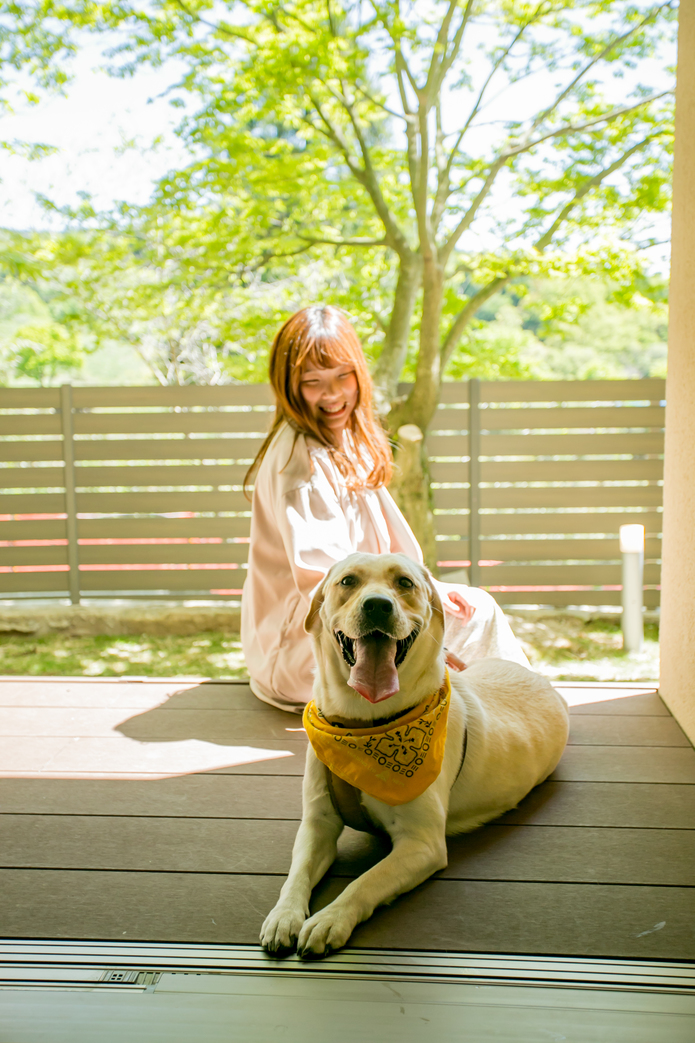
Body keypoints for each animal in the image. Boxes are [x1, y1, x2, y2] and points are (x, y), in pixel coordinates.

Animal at [259, 554, 567, 955]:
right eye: (348, 581)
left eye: (404, 583)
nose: (377, 605)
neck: (363, 723)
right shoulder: (317, 823)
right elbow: (295, 875)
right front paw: (284, 915)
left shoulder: (422, 844)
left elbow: (366, 881)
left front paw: (330, 919)